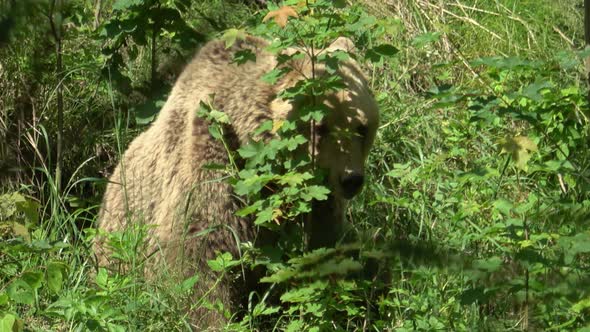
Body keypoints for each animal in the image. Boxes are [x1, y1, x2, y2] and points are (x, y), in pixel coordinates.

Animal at [92, 35, 380, 328]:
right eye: (320, 127)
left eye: (362, 127)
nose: (351, 179)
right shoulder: (214, 157)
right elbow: (197, 252)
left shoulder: (316, 200)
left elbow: (323, 245)